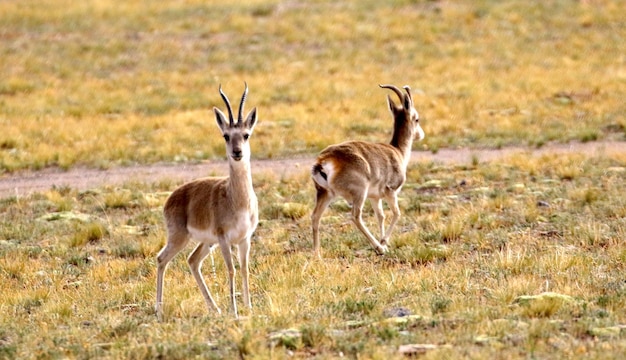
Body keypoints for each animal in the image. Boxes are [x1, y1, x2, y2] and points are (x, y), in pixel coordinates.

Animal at [156, 83, 258, 320]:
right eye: (226, 136)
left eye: (246, 135)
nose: (237, 152)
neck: (238, 201)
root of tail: (171, 198)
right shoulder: (224, 239)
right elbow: (231, 269)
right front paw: (235, 311)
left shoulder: (244, 239)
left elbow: (244, 269)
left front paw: (248, 308)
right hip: (180, 238)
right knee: (161, 259)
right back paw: (159, 310)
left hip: (206, 242)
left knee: (192, 261)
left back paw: (215, 308)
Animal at [308, 85, 422, 256]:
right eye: (417, 119)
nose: (421, 135)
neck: (397, 151)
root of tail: (324, 160)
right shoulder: (390, 192)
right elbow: (397, 213)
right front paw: (383, 243)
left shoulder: (375, 197)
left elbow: (381, 216)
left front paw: (384, 241)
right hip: (358, 194)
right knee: (356, 217)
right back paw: (378, 247)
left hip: (325, 193)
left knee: (315, 217)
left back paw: (317, 254)